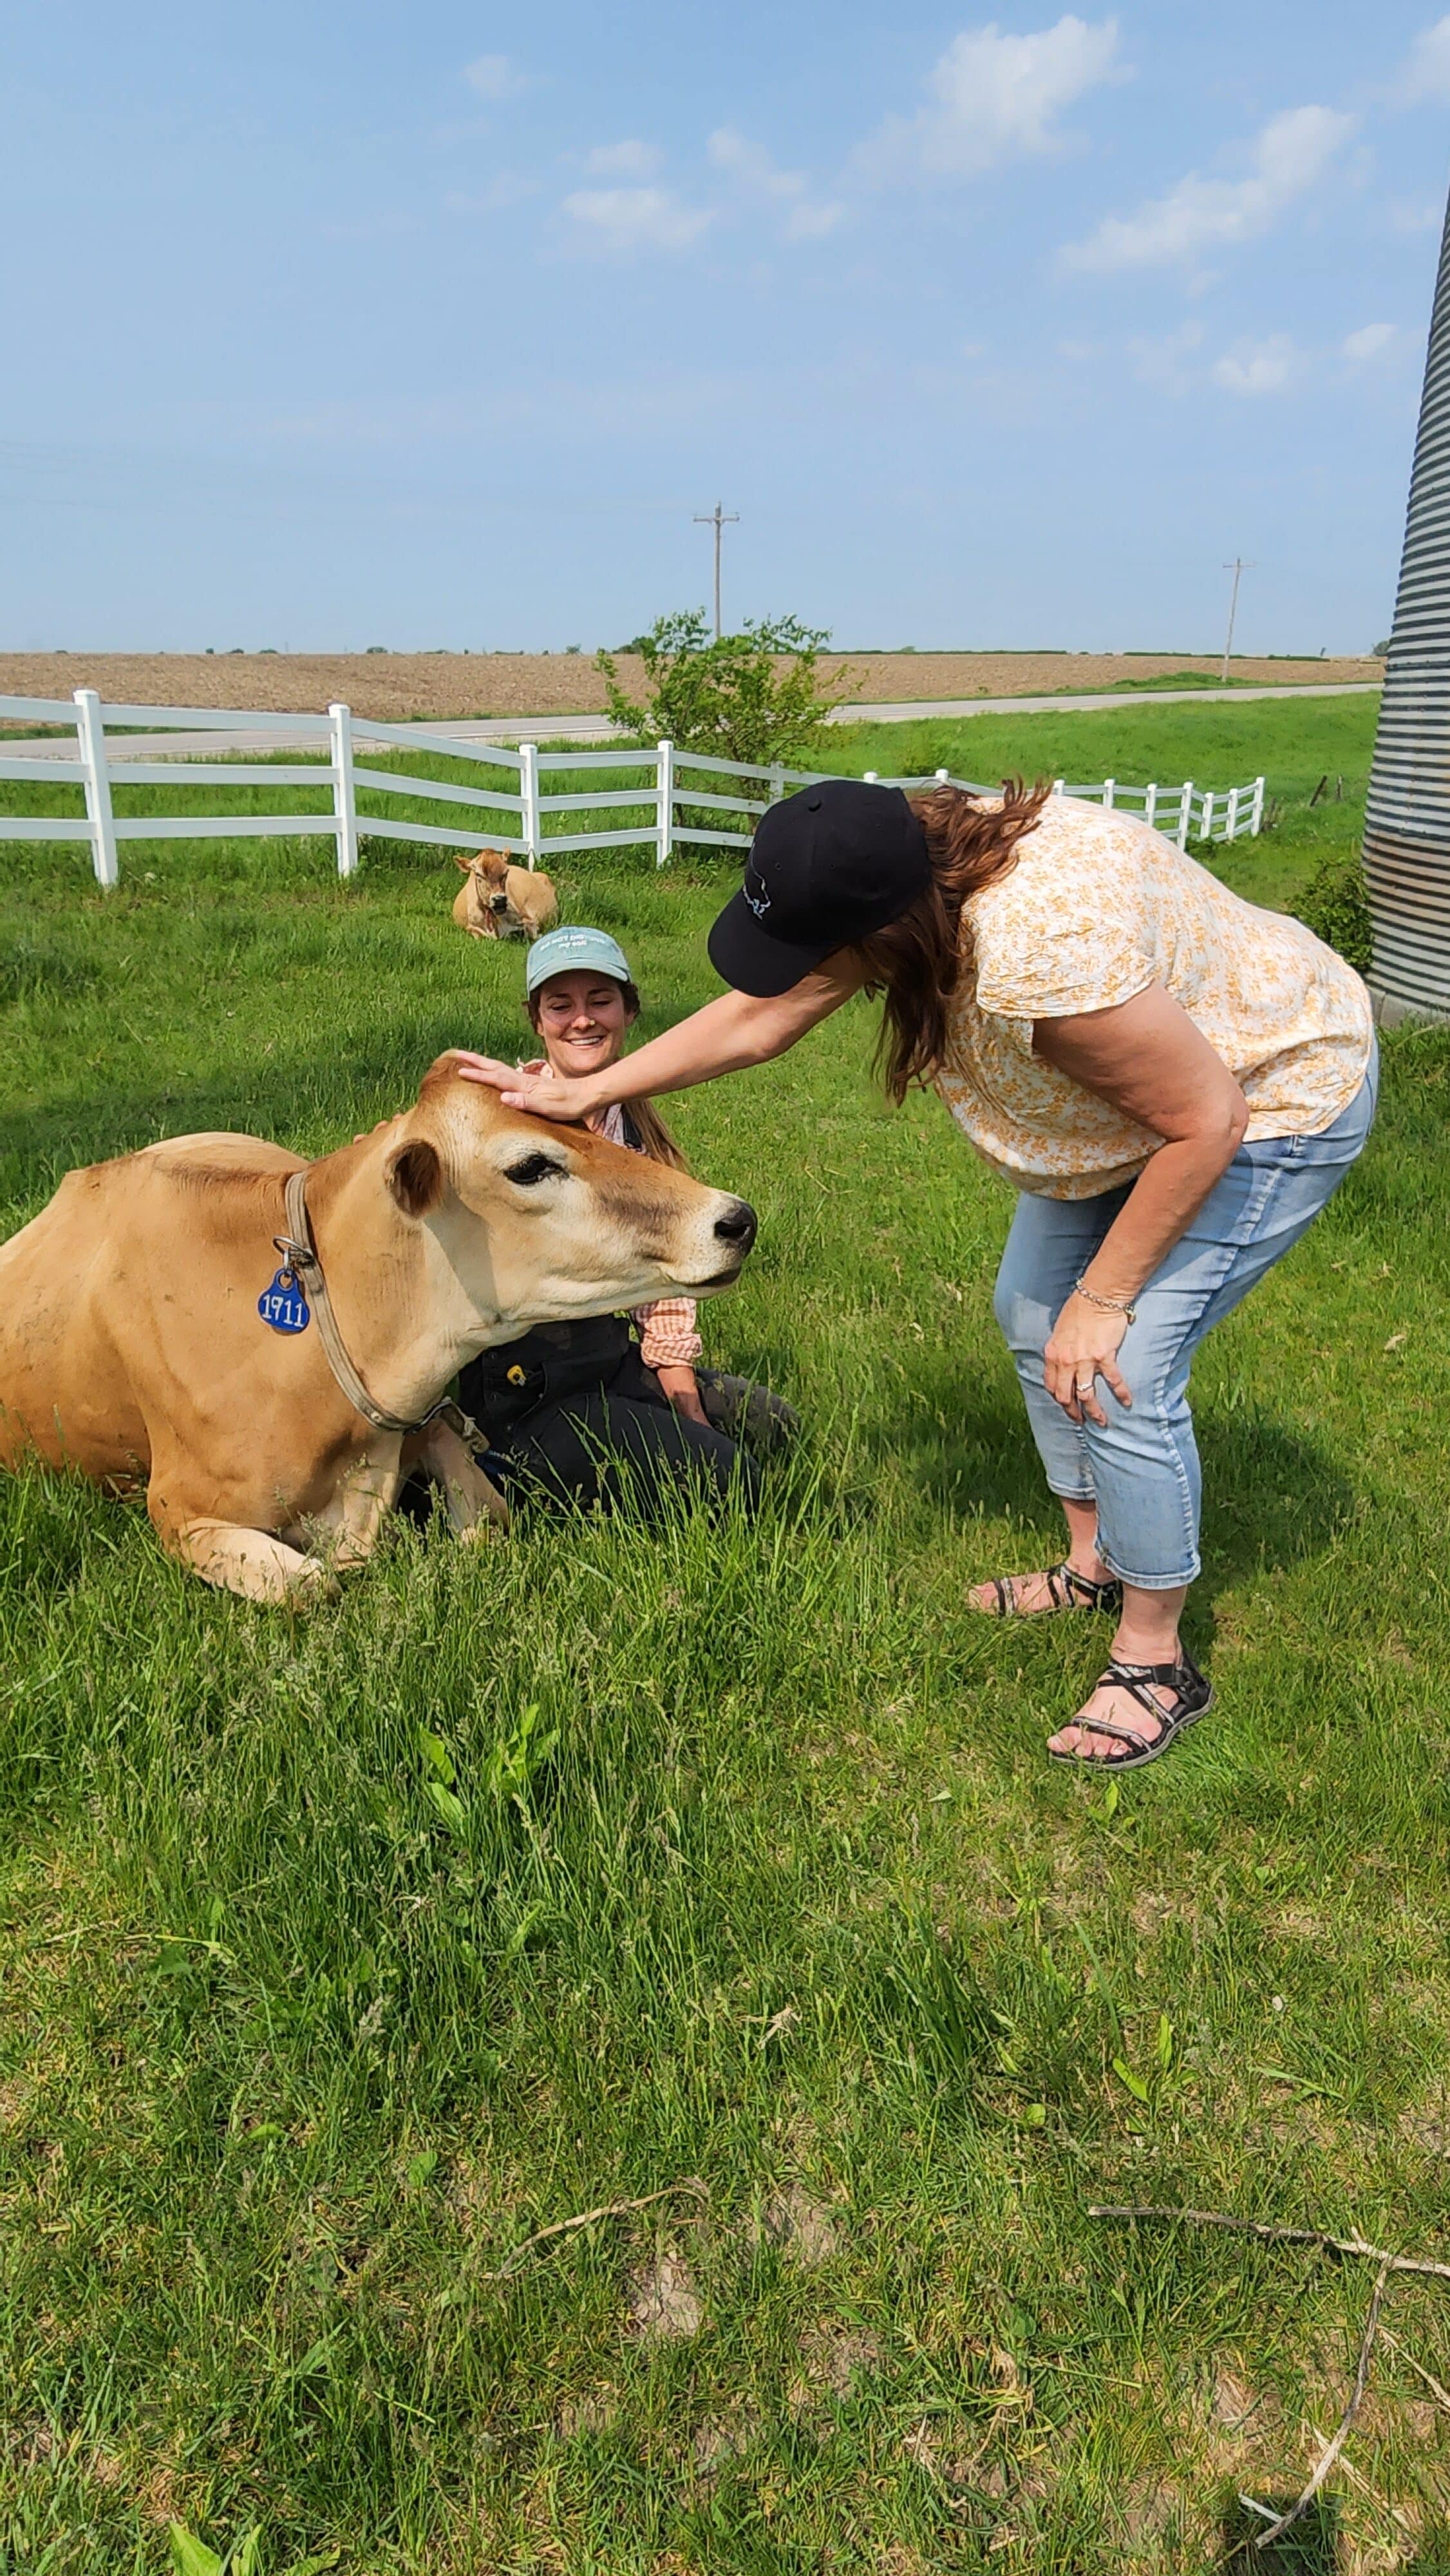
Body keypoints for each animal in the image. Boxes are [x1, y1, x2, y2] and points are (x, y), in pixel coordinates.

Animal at [0, 1041, 767, 1587]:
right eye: (529, 1166)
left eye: (587, 1126)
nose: (735, 1218)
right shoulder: (179, 1510)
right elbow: (313, 1584)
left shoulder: (427, 1416)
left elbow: (488, 1519)